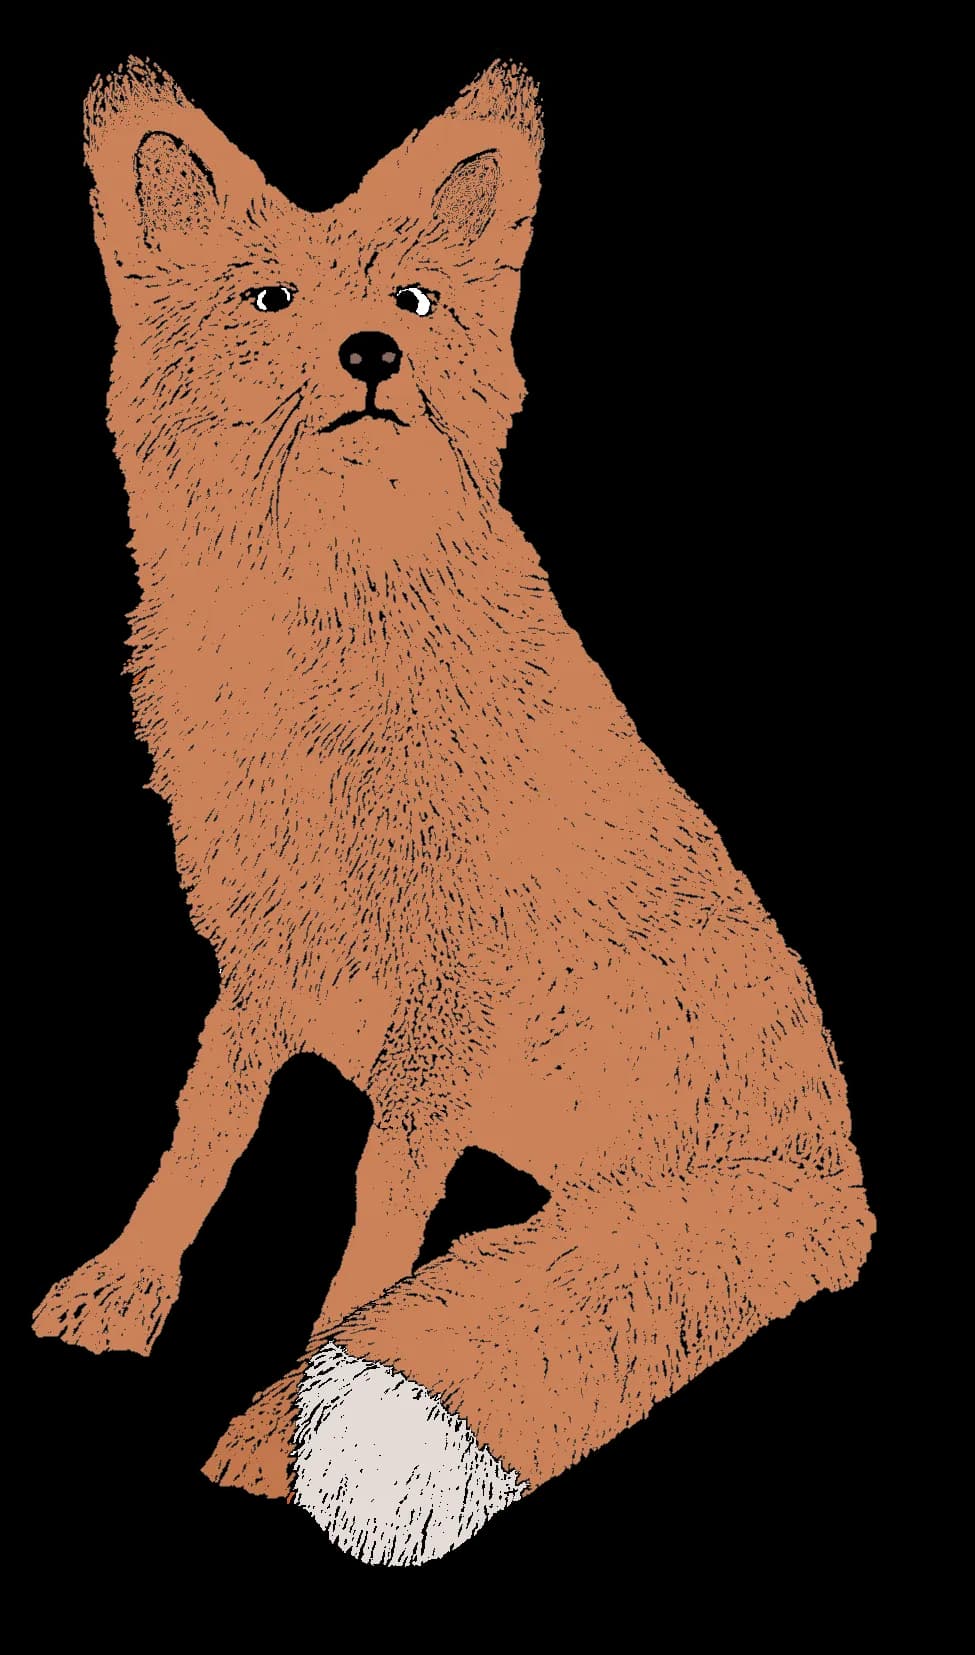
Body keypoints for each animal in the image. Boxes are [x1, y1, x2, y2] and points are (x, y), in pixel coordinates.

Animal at [32, 55, 874, 1566]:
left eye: (415, 301)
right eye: (270, 300)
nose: (375, 355)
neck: (324, 651)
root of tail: (834, 1179)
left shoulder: (447, 990)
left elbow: (371, 1235)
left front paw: (273, 1425)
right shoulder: (261, 954)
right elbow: (200, 1134)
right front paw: (125, 1286)